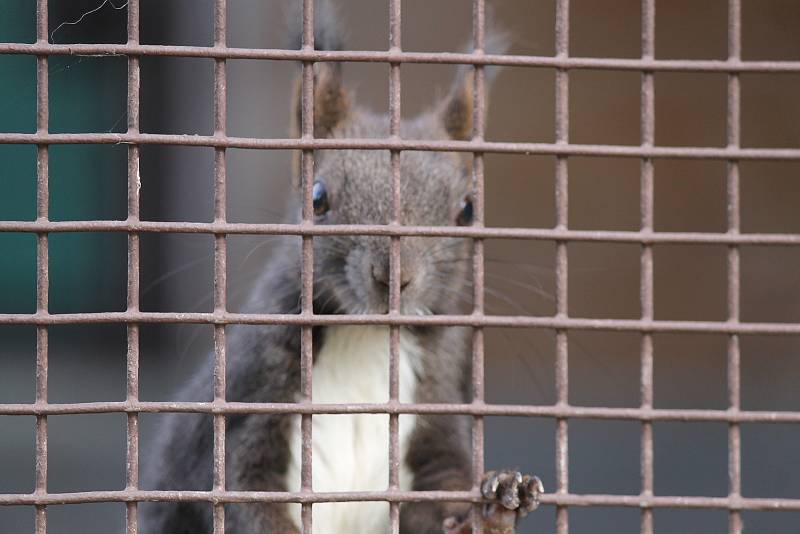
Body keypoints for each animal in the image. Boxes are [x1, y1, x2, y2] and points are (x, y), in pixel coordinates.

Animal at [142, 2, 544, 532]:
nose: (394, 277)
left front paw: (496, 503)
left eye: (467, 209)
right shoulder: (248, 403)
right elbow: (242, 495)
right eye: (318, 198)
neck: (365, 338)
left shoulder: (436, 410)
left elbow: (442, 496)